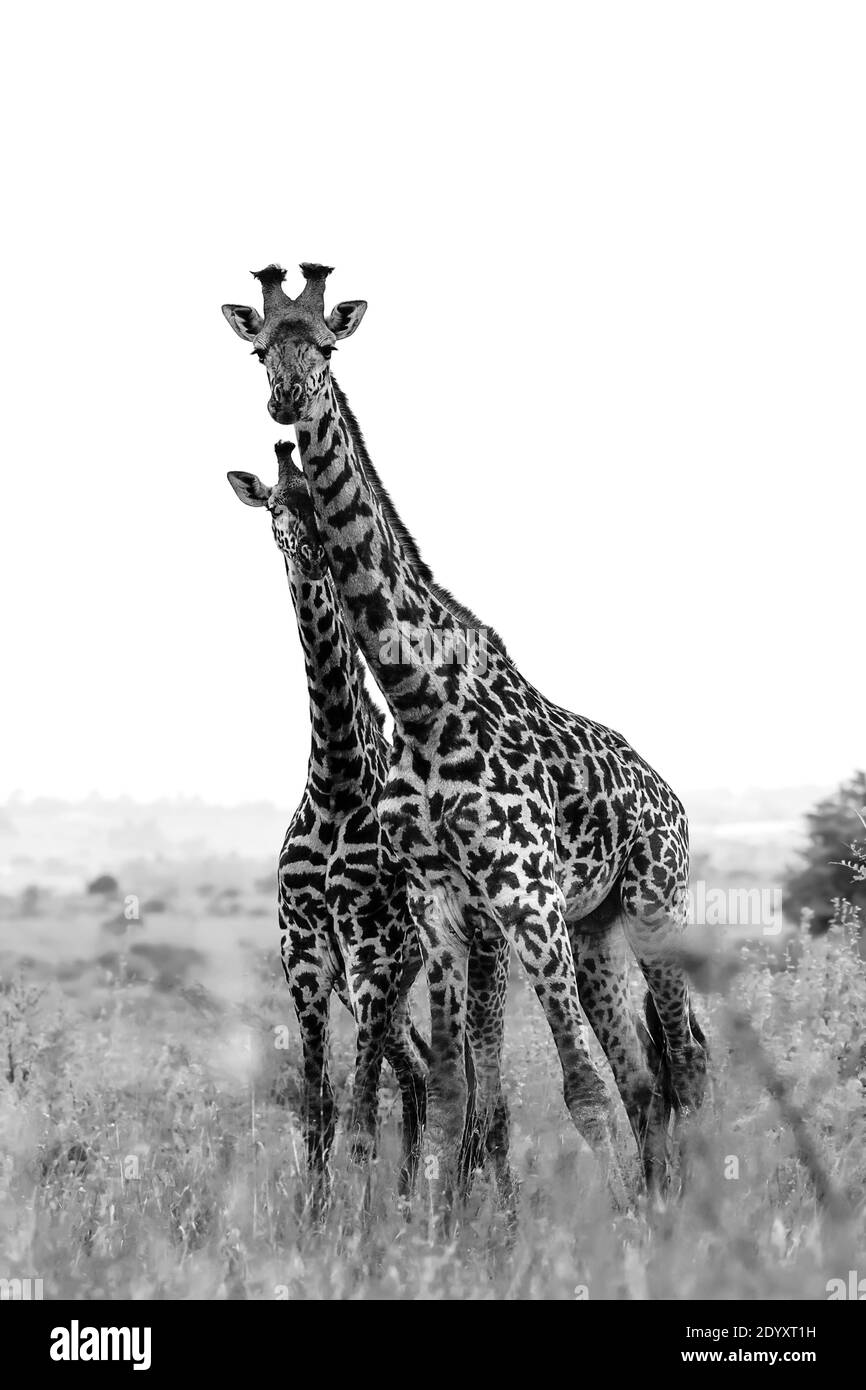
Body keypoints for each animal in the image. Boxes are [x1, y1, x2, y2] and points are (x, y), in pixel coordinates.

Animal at [221, 264, 708, 1213]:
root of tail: (669, 795)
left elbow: (577, 1090)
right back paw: (664, 1209)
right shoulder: (437, 911)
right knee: (644, 1076)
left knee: (683, 1059)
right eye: (260, 347)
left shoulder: (520, 899)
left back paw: (694, 1212)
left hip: (650, 903)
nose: (286, 400)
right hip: (593, 931)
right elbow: (453, 1095)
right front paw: (432, 1232)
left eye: (325, 345)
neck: (417, 700)